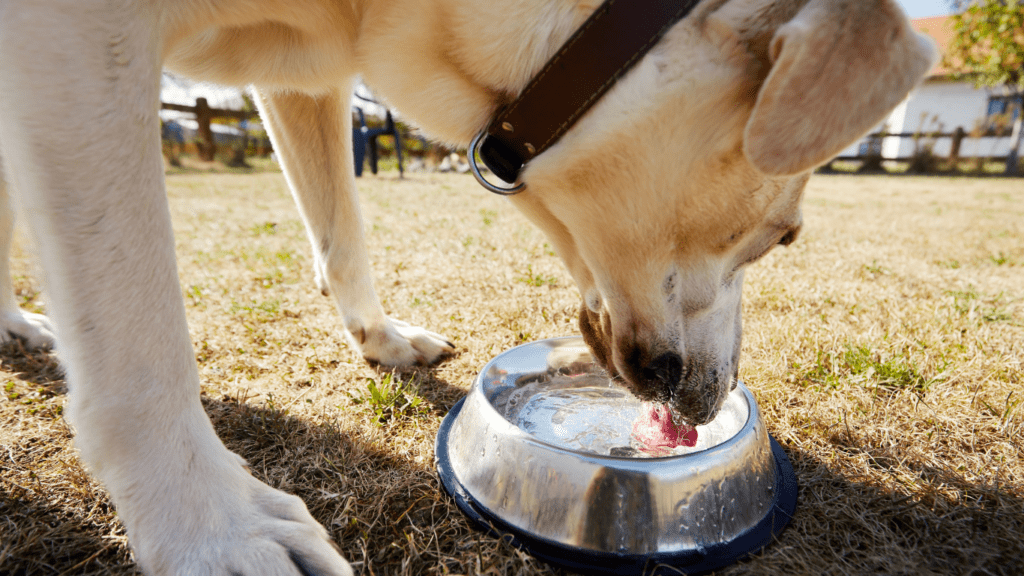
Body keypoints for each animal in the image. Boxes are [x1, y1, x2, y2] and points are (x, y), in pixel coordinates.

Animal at [0, 0, 937, 569]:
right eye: (784, 237)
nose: (717, 397)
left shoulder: (304, 78)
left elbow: (342, 236)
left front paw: (381, 340)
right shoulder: (78, 42)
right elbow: (139, 336)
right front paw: (213, 529)